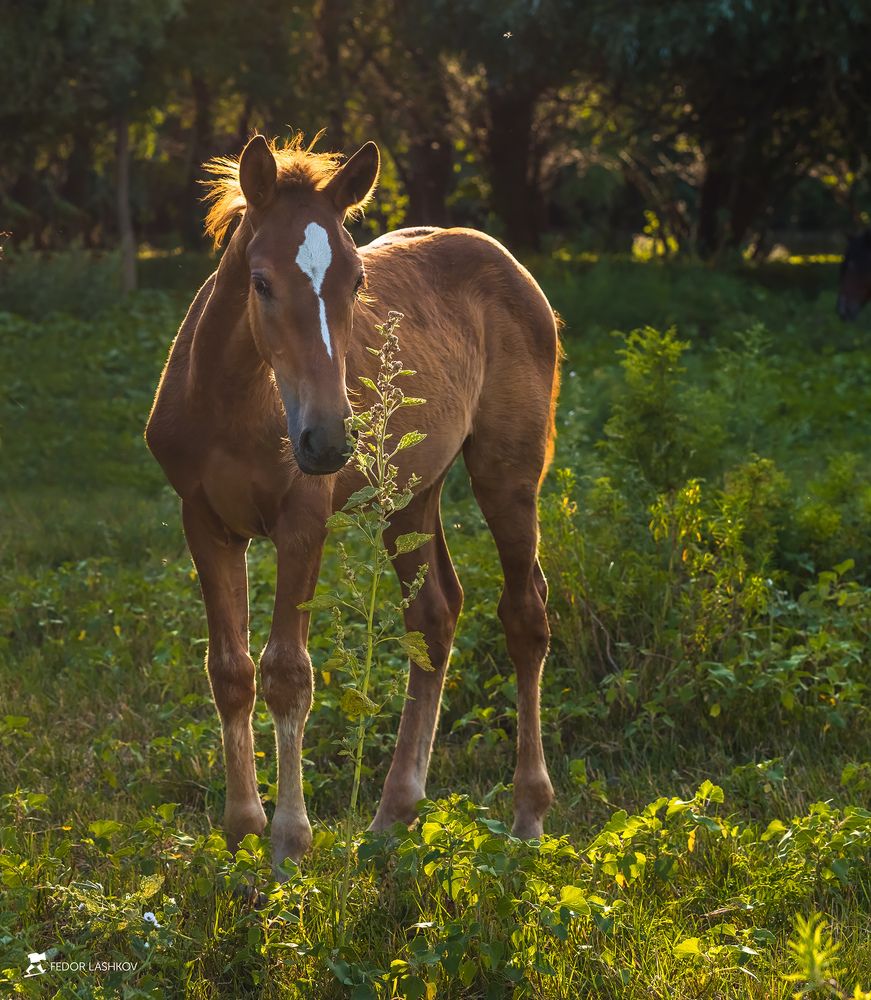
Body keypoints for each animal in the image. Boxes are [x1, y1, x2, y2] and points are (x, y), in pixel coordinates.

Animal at [145, 132, 561, 877]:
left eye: (358, 282)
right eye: (261, 282)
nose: (328, 438)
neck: (233, 404)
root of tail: (509, 264)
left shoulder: (301, 525)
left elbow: (287, 674)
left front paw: (288, 845)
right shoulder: (205, 523)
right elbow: (230, 671)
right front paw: (242, 833)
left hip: (507, 474)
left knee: (524, 615)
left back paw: (526, 818)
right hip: (410, 495)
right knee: (433, 615)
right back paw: (392, 818)